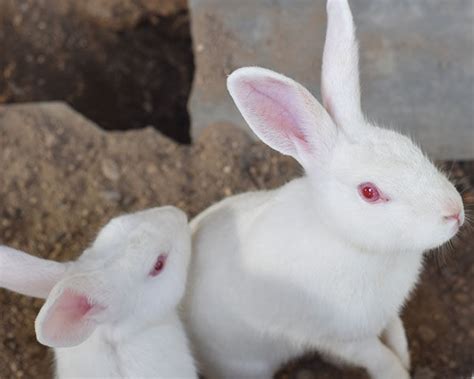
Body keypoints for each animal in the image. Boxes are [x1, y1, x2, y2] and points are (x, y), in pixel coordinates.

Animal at [183, 0, 464, 379]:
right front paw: (399, 370)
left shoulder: (386, 314)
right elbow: (381, 358)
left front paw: (406, 355)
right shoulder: (343, 338)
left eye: (409, 146)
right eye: (369, 192)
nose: (455, 212)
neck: (351, 243)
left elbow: (395, 332)